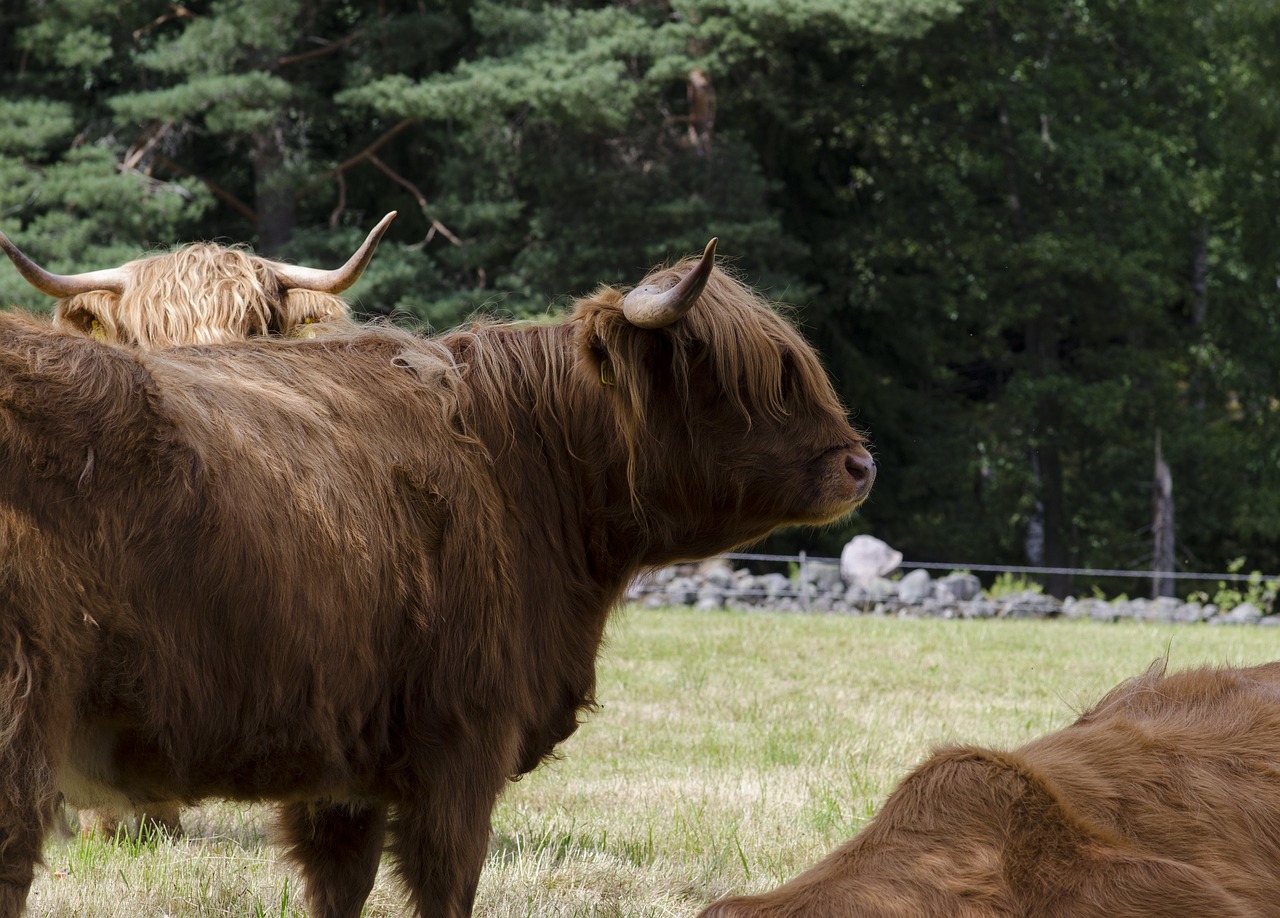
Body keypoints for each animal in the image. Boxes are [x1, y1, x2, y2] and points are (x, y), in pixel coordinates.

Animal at [0, 238, 870, 916]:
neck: (519, 464)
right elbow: (446, 888)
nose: (859, 462)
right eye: (736, 376)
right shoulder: (462, 744)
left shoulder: (340, 767)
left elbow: (340, 889)